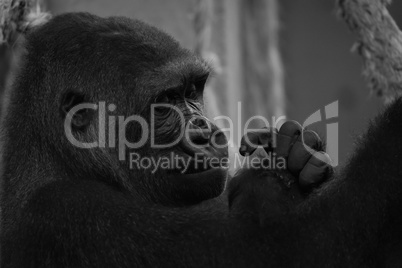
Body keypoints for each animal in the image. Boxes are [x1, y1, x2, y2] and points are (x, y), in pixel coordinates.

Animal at [0, 11, 402, 266]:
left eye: (193, 91)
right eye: (165, 101)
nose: (207, 133)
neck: (55, 155)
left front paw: (295, 157)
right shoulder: (67, 214)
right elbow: (286, 250)